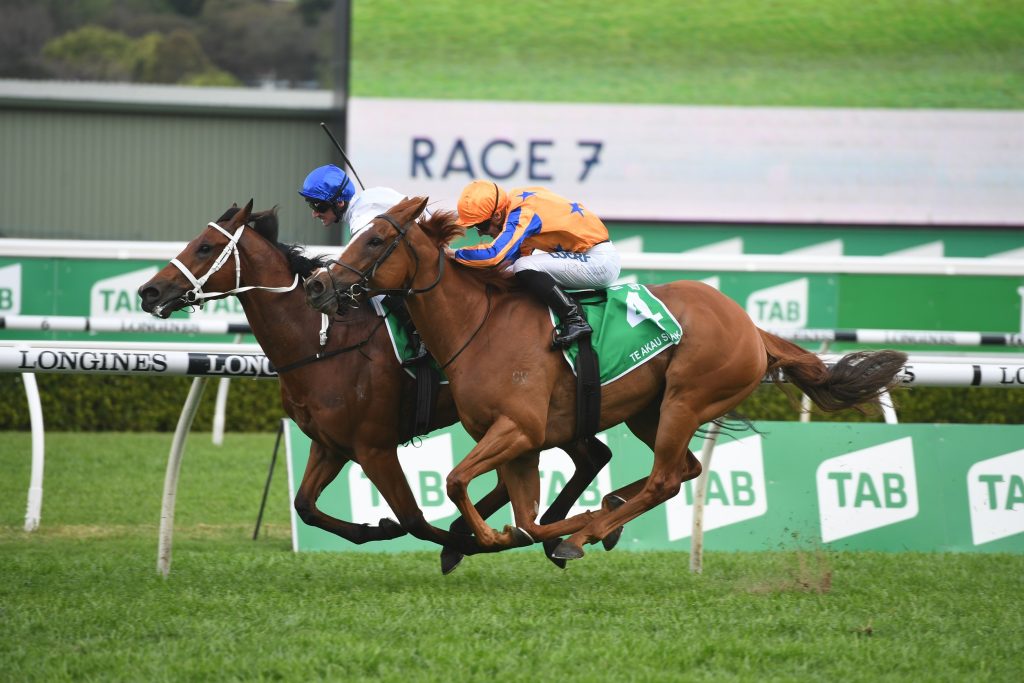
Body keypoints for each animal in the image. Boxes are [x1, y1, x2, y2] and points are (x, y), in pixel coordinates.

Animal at [137, 200, 615, 571]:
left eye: (205, 247)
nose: (148, 291)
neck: (322, 343)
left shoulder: (374, 447)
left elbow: (414, 519)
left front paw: (462, 542)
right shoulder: (330, 444)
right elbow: (306, 506)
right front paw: (376, 527)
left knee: (580, 458)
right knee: (590, 456)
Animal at [303, 196, 908, 561]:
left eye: (374, 241)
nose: (317, 285)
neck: (478, 324)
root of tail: (752, 328)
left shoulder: (518, 429)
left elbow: (456, 481)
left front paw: (502, 534)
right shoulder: (520, 443)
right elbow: (527, 519)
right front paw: (534, 531)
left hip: (687, 399)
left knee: (666, 476)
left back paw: (594, 527)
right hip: (649, 410)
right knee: (682, 470)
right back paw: (606, 515)